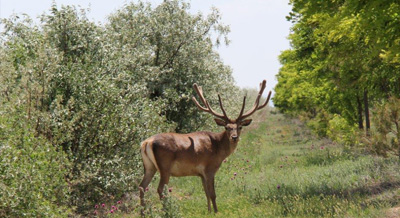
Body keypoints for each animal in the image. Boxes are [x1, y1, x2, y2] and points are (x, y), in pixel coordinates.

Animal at [138, 79, 272, 213]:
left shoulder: (201, 173)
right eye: (227, 127)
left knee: (142, 186)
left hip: (149, 166)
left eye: (240, 127)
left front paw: (209, 211)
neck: (218, 149)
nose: (234, 137)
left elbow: (206, 193)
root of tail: (147, 142)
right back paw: (167, 211)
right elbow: (212, 194)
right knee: (160, 189)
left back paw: (143, 212)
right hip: (165, 166)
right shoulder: (209, 168)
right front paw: (216, 212)